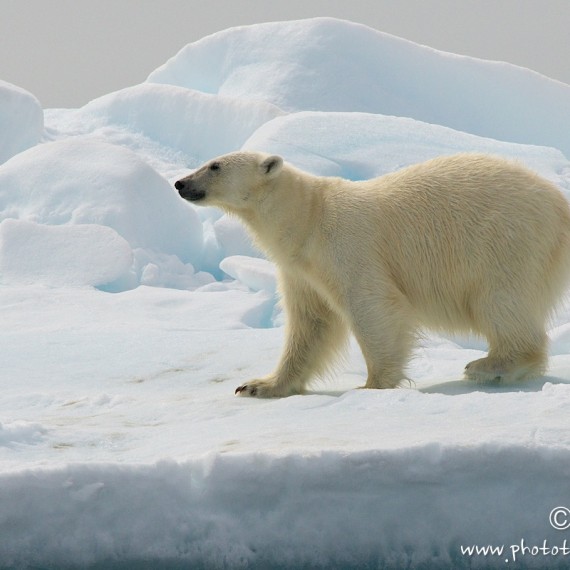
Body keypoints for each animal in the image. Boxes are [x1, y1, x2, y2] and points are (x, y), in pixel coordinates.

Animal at [174, 153, 568, 398]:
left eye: (215, 165)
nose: (180, 183)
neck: (307, 219)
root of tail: (560, 205)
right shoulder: (300, 269)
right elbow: (311, 323)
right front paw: (260, 385)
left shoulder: (347, 246)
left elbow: (372, 307)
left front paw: (371, 385)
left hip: (505, 241)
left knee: (499, 301)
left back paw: (489, 365)